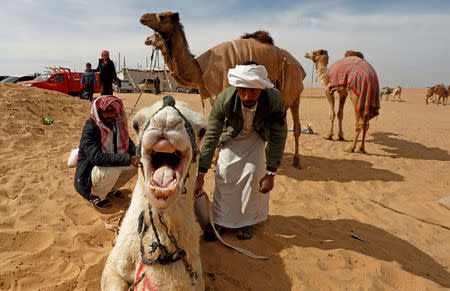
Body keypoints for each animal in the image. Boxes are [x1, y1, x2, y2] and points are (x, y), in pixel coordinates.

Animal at [140, 11, 306, 169]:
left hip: (291, 90)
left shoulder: (221, 90)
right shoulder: (214, 97)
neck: (199, 70)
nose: (142, 18)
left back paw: (296, 161)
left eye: (162, 16)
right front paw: (215, 158)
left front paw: (217, 160)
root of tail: (299, 67)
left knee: (292, 126)